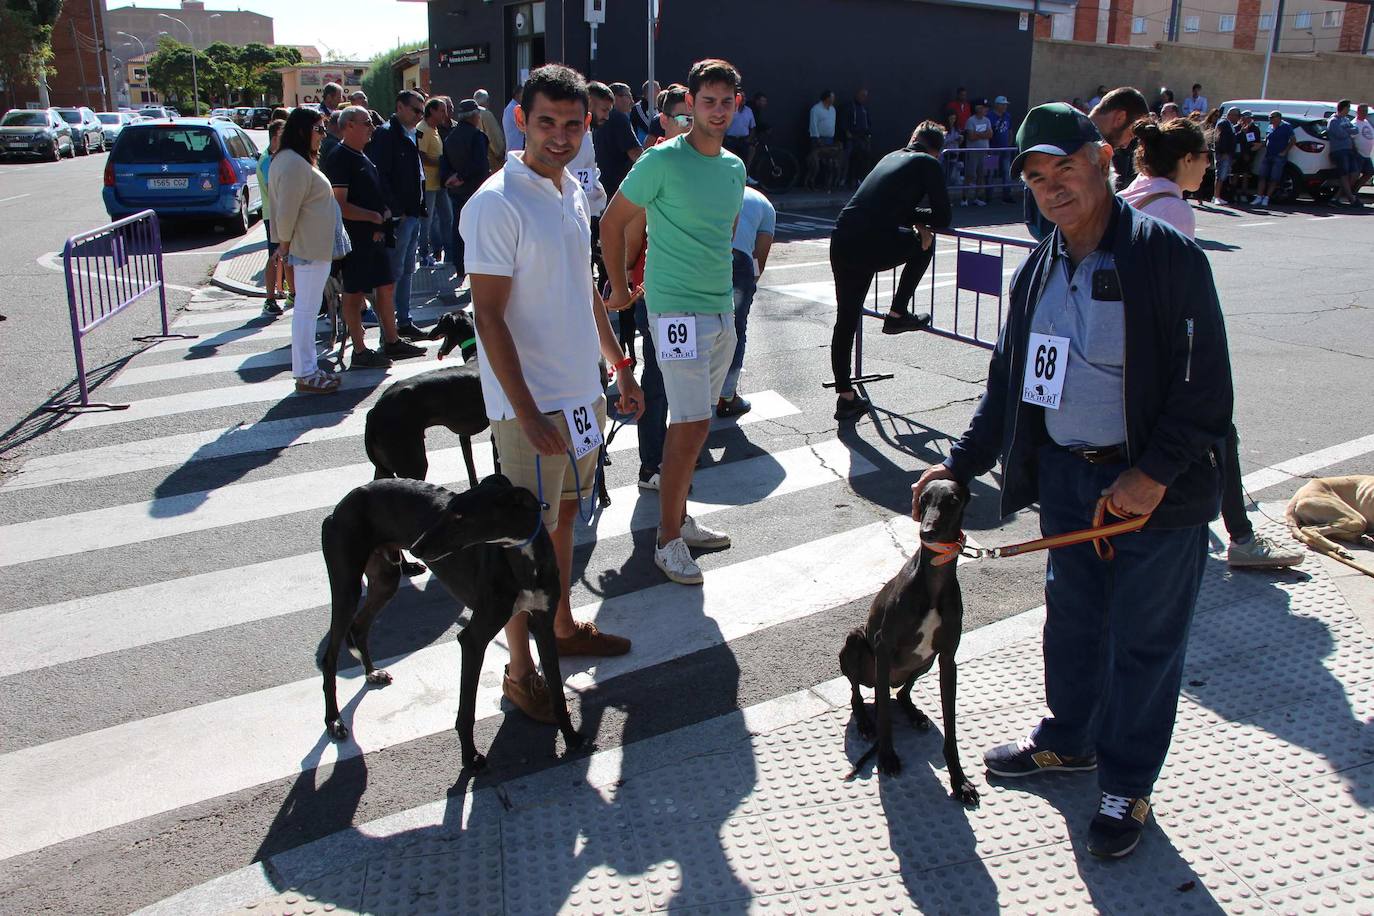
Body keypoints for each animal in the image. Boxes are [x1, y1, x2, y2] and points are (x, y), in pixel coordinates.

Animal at [320, 477, 579, 769]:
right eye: (447, 510)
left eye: (459, 516)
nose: (416, 548)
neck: (521, 557)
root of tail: (343, 504)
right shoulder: (474, 639)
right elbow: (467, 709)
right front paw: (470, 757)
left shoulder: (543, 625)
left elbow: (558, 692)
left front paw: (571, 739)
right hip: (347, 586)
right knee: (329, 656)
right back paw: (334, 721)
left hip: (385, 579)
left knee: (359, 627)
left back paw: (371, 672)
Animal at [835, 477, 978, 807]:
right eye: (923, 498)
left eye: (953, 500)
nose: (927, 532)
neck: (934, 583)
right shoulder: (883, 647)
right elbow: (885, 718)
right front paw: (887, 757)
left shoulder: (947, 659)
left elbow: (951, 726)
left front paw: (960, 780)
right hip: (856, 643)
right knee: (859, 695)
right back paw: (865, 723)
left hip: (924, 662)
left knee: (901, 694)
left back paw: (914, 713)